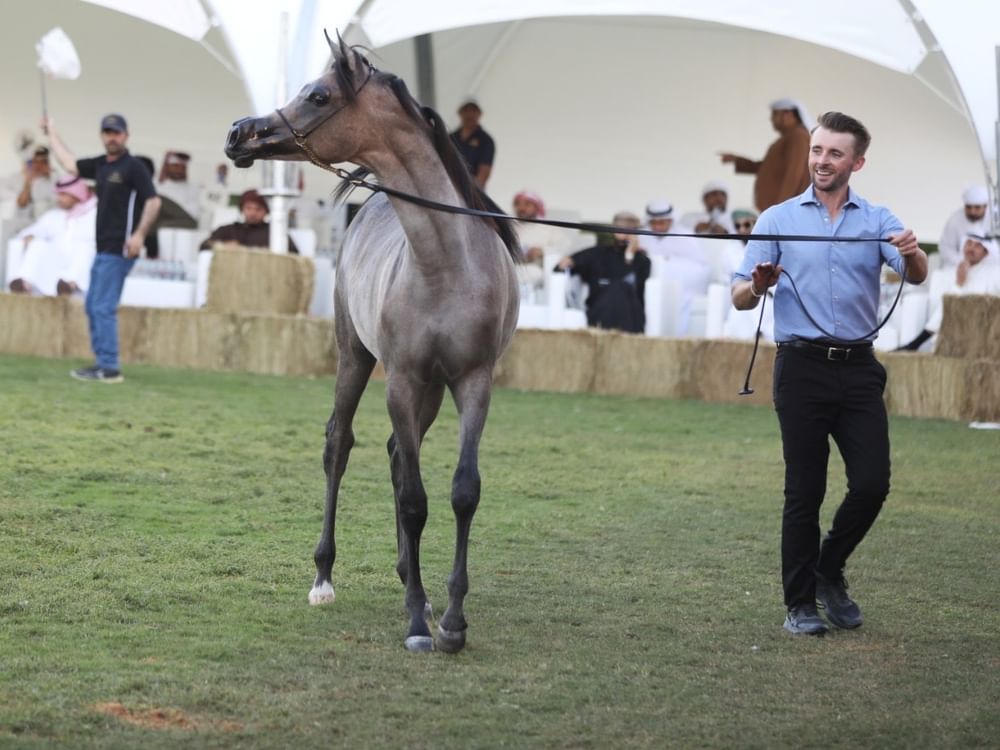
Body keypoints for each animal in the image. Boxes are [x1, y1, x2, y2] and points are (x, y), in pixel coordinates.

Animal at [224, 34, 520, 653]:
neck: (445, 265)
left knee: (394, 454)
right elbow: (413, 499)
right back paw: (324, 579)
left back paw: (414, 581)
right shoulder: (400, 381)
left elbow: (462, 491)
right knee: (341, 445)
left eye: (318, 94)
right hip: (356, 358)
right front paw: (418, 626)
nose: (240, 133)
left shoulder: (473, 383)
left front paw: (451, 620)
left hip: (429, 391)